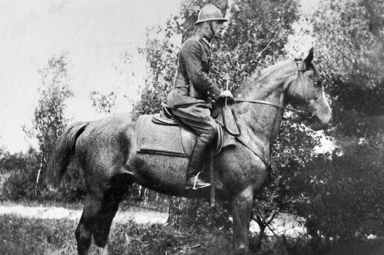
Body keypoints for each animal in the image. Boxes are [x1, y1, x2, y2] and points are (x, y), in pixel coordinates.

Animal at [47, 48, 330, 255]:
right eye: (317, 81)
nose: (327, 118)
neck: (246, 126)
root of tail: (90, 124)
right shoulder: (242, 197)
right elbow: (241, 247)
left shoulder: (237, 201)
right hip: (98, 191)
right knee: (84, 233)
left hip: (115, 190)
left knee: (101, 232)